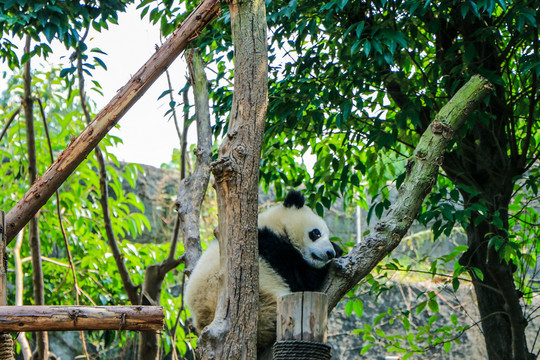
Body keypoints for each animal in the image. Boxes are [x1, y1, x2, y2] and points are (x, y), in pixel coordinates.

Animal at [181, 191, 342, 352]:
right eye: (316, 233)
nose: (330, 253)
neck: (276, 224)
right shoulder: (269, 247)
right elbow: (303, 279)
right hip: (265, 307)